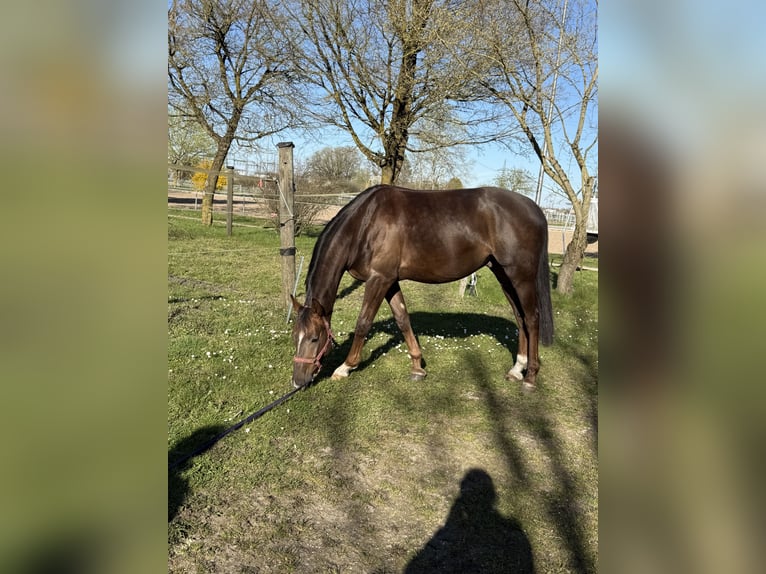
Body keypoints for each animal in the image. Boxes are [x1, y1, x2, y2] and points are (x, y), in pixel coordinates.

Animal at [290, 185, 554, 392]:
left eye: (315, 338)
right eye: (295, 336)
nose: (298, 382)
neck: (365, 223)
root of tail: (535, 209)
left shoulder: (379, 279)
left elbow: (363, 323)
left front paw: (345, 367)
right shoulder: (390, 281)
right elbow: (402, 318)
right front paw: (417, 366)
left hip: (521, 276)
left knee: (532, 318)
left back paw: (530, 377)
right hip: (503, 274)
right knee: (519, 317)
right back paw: (516, 369)